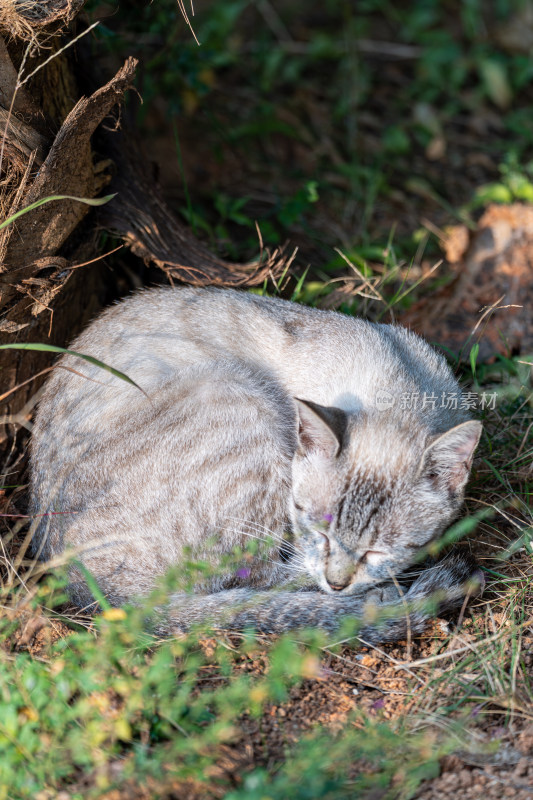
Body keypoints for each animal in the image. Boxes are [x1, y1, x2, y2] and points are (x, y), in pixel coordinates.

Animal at [31, 290, 484, 644]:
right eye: (316, 528)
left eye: (378, 550)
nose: (337, 583)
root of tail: (92, 591)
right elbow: (284, 571)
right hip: (236, 394)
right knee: (251, 580)